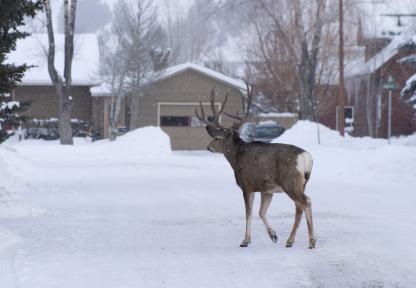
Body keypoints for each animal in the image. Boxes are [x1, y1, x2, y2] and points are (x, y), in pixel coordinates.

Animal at [195, 86, 316, 249]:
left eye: (216, 138)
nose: (208, 147)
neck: (236, 158)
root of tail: (306, 158)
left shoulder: (246, 185)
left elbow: (249, 213)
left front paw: (245, 241)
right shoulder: (266, 189)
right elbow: (261, 212)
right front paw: (273, 236)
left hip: (290, 182)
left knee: (306, 202)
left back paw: (311, 241)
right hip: (300, 183)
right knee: (299, 208)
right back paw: (289, 241)